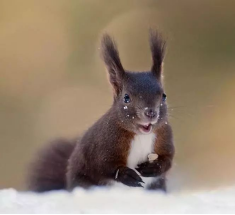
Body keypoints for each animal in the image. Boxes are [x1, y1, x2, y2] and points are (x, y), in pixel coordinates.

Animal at [27, 29, 174, 192]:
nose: (150, 112)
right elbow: (104, 166)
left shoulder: (165, 136)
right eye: (126, 98)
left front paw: (153, 167)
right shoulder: (103, 144)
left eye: (164, 96)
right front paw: (126, 175)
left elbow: (168, 159)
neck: (140, 135)